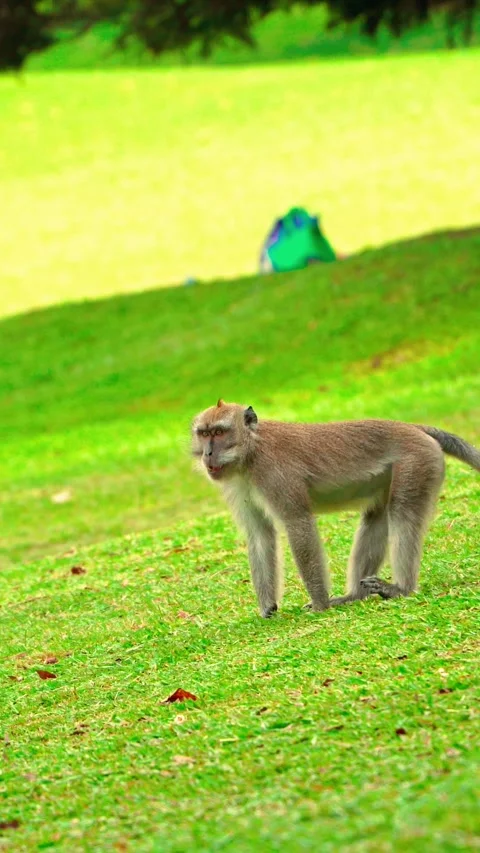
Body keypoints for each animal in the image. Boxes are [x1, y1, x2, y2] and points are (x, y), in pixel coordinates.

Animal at [191, 400, 480, 618]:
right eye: (204, 434)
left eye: (219, 433)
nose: (207, 454)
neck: (250, 453)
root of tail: (413, 427)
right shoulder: (239, 485)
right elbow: (260, 535)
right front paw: (267, 609)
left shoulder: (275, 474)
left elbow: (298, 524)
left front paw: (321, 605)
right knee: (376, 517)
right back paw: (355, 595)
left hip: (417, 462)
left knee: (402, 513)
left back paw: (401, 589)